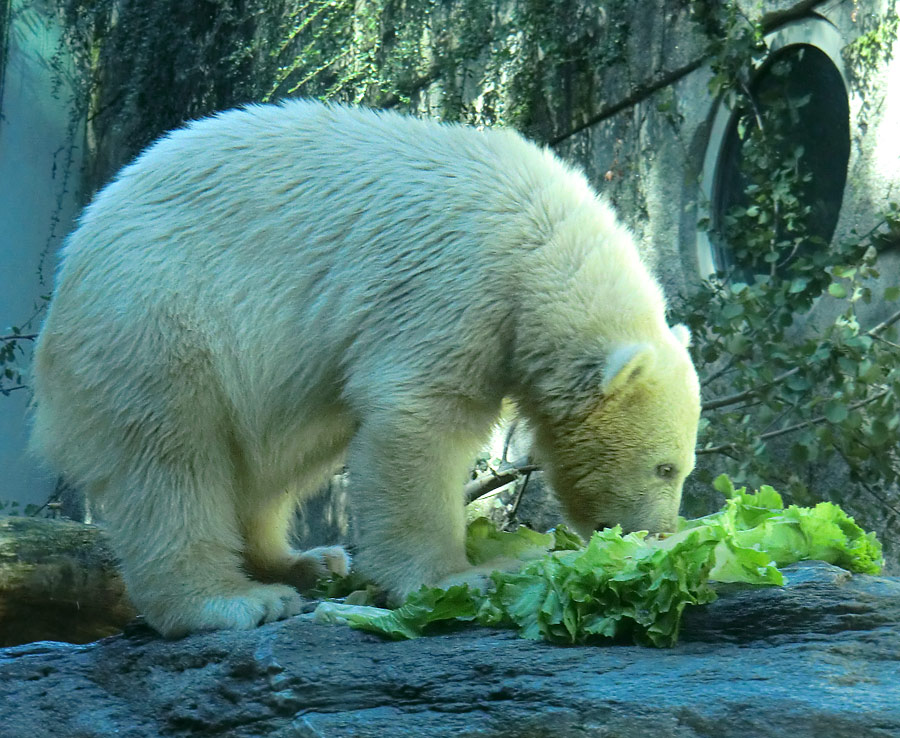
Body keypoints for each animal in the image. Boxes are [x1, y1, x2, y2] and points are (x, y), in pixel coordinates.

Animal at [29, 100, 704, 636]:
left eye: (682, 468)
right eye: (665, 467)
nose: (657, 534)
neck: (545, 240)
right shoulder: (457, 282)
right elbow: (420, 419)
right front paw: (464, 576)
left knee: (276, 460)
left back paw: (306, 560)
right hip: (158, 320)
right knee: (172, 459)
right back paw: (233, 601)